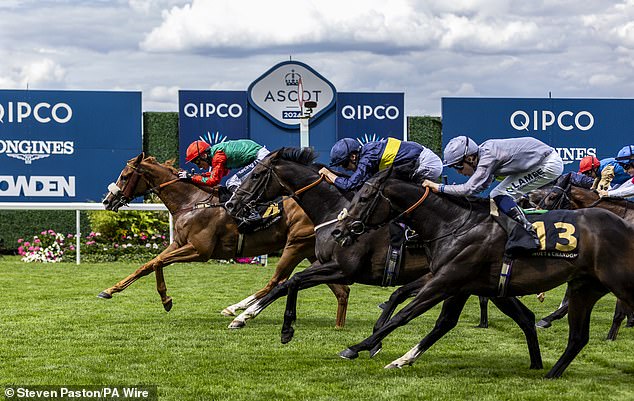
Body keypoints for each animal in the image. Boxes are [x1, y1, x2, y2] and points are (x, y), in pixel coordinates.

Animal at [97, 152, 350, 326]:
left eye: (125, 176)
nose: (107, 201)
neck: (192, 201)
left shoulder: (200, 250)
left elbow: (158, 262)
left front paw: (166, 299)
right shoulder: (178, 243)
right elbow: (147, 265)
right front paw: (109, 290)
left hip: (296, 244)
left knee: (277, 281)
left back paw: (238, 311)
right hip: (312, 251)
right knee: (341, 291)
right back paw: (339, 327)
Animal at [222, 147, 540, 368]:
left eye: (255, 174)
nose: (231, 203)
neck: (335, 210)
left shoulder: (343, 268)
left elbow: (291, 281)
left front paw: (277, 326)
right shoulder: (325, 264)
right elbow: (288, 283)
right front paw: (245, 317)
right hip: (484, 284)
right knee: (525, 317)